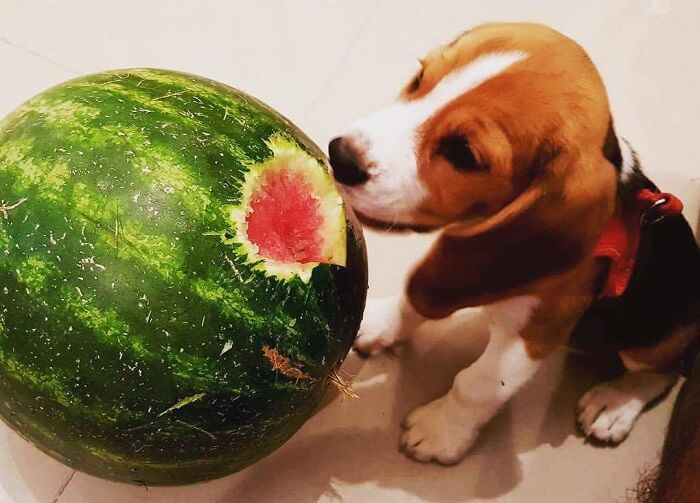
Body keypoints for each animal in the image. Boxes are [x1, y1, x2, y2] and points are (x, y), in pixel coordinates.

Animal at [328, 22, 700, 464]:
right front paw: (383, 322)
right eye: (420, 79)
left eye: (462, 153)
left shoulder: (534, 335)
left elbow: (478, 384)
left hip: (654, 338)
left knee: (664, 372)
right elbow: (414, 299)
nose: (340, 156)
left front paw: (439, 432)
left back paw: (614, 402)